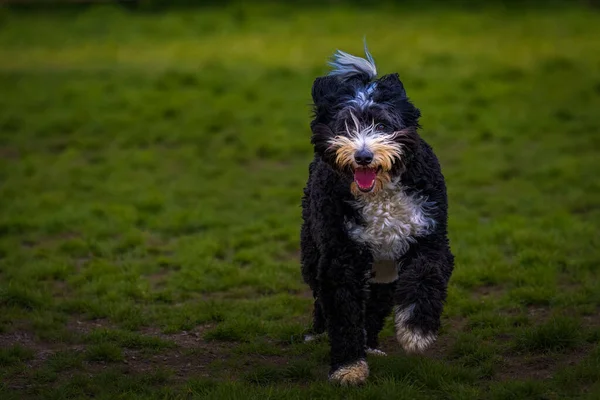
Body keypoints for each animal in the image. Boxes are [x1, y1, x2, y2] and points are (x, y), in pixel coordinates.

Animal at [300, 43, 454, 384]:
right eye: (345, 126)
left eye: (382, 125)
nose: (363, 156)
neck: (380, 195)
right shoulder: (340, 257)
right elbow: (343, 314)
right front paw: (348, 367)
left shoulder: (430, 239)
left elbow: (426, 277)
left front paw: (416, 332)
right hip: (314, 251)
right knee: (322, 298)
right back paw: (319, 333)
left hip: (385, 270)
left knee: (375, 305)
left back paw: (371, 343)